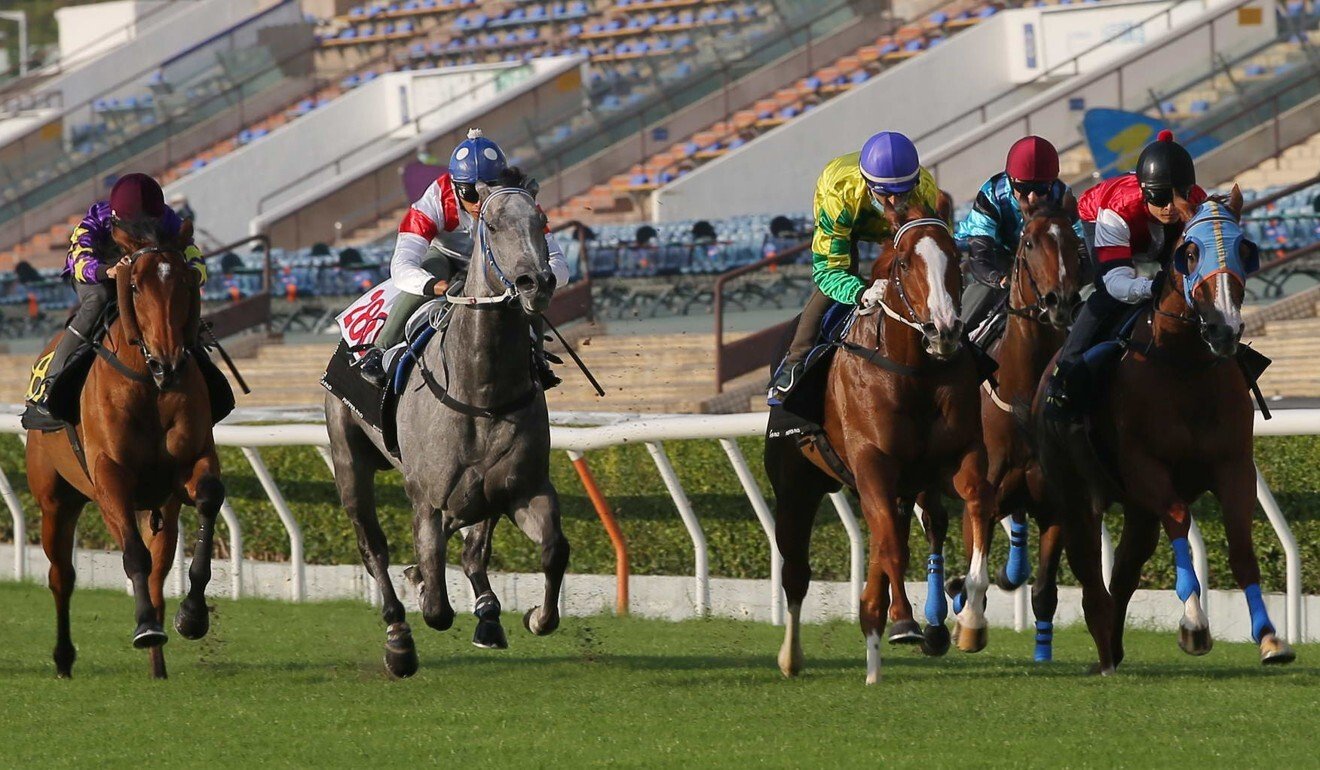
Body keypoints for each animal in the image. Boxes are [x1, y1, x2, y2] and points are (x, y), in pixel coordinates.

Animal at [23, 221, 224, 681]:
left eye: (186, 280)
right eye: (134, 285)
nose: (168, 363)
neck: (149, 385)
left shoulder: (190, 467)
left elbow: (208, 498)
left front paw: (192, 615)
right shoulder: (110, 478)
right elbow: (132, 554)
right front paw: (146, 627)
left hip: (159, 509)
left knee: (157, 573)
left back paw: (158, 666)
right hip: (56, 501)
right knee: (62, 576)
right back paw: (64, 658)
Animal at [324, 183, 567, 676]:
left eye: (541, 220)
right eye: (493, 224)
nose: (536, 282)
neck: (482, 390)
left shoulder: (524, 488)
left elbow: (553, 549)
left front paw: (535, 616)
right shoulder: (427, 497)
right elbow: (436, 604)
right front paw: (421, 594)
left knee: (471, 542)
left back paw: (485, 614)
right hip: (348, 458)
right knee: (373, 547)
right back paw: (398, 636)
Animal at [770, 199, 992, 686]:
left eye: (956, 256)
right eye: (905, 262)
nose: (944, 330)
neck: (914, 371)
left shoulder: (961, 455)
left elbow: (978, 506)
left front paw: (971, 620)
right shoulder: (872, 461)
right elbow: (890, 545)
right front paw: (906, 622)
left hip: (901, 486)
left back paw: (876, 649)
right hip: (796, 485)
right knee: (796, 572)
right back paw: (792, 657)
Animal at [1034, 188, 1293, 676]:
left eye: (1245, 249)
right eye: (1189, 254)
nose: (1224, 328)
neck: (1185, 366)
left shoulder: (1234, 467)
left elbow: (1241, 548)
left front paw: (1270, 638)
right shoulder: (1145, 468)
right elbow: (1179, 519)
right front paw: (1193, 626)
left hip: (1135, 511)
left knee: (1124, 572)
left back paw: (1114, 647)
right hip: (1076, 492)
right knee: (1088, 568)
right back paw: (1104, 653)